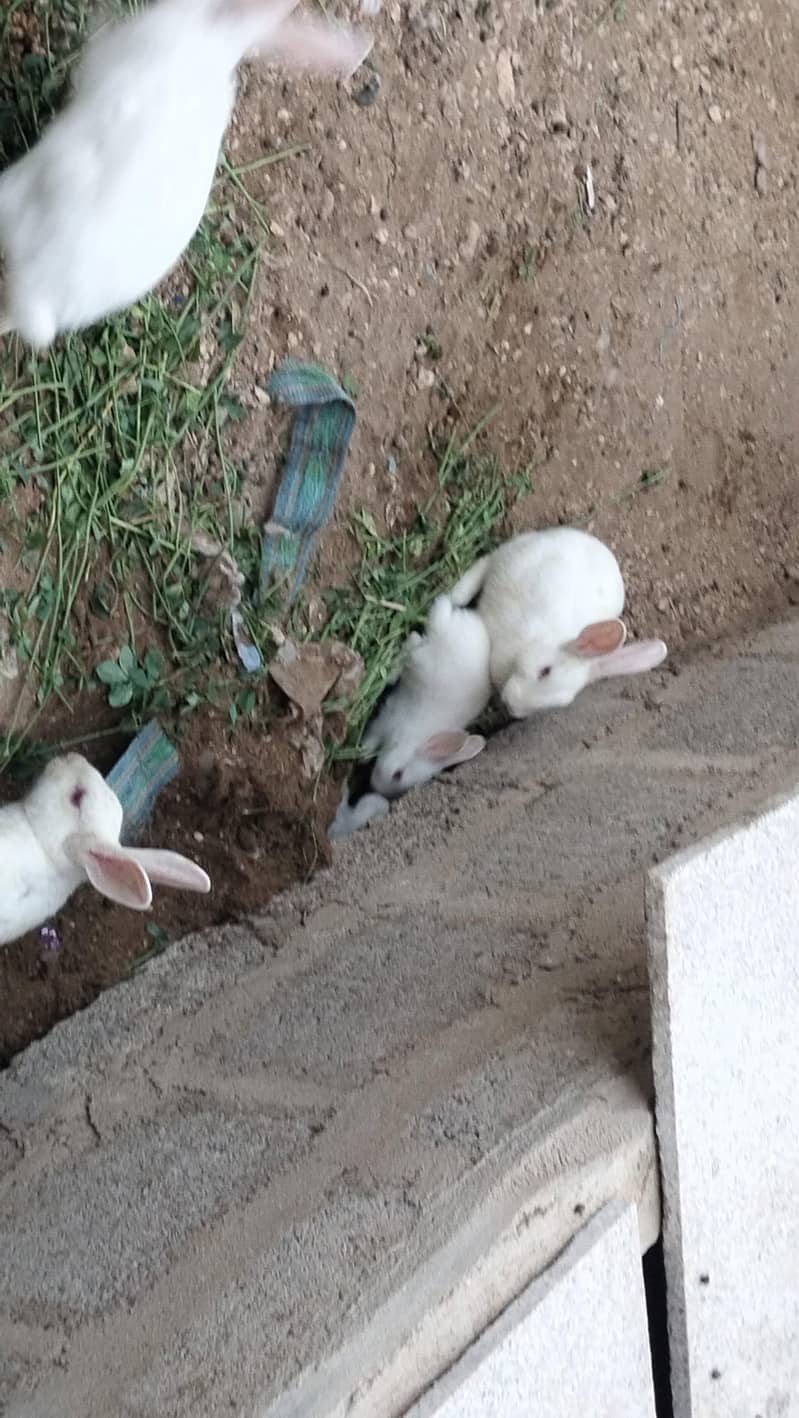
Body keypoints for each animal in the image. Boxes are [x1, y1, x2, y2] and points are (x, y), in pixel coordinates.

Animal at [364, 593, 490, 799]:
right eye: (398, 774)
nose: (375, 786)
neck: (413, 737)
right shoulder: (386, 719)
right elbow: (371, 737)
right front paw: (362, 753)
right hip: (424, 654)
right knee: (416, 641)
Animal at [450, 527, 668, 719]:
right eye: (545, 671)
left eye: (559, 704)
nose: (510, 705)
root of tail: (588, 540)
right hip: (510, 556)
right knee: (487, 561)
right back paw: (457, 595)